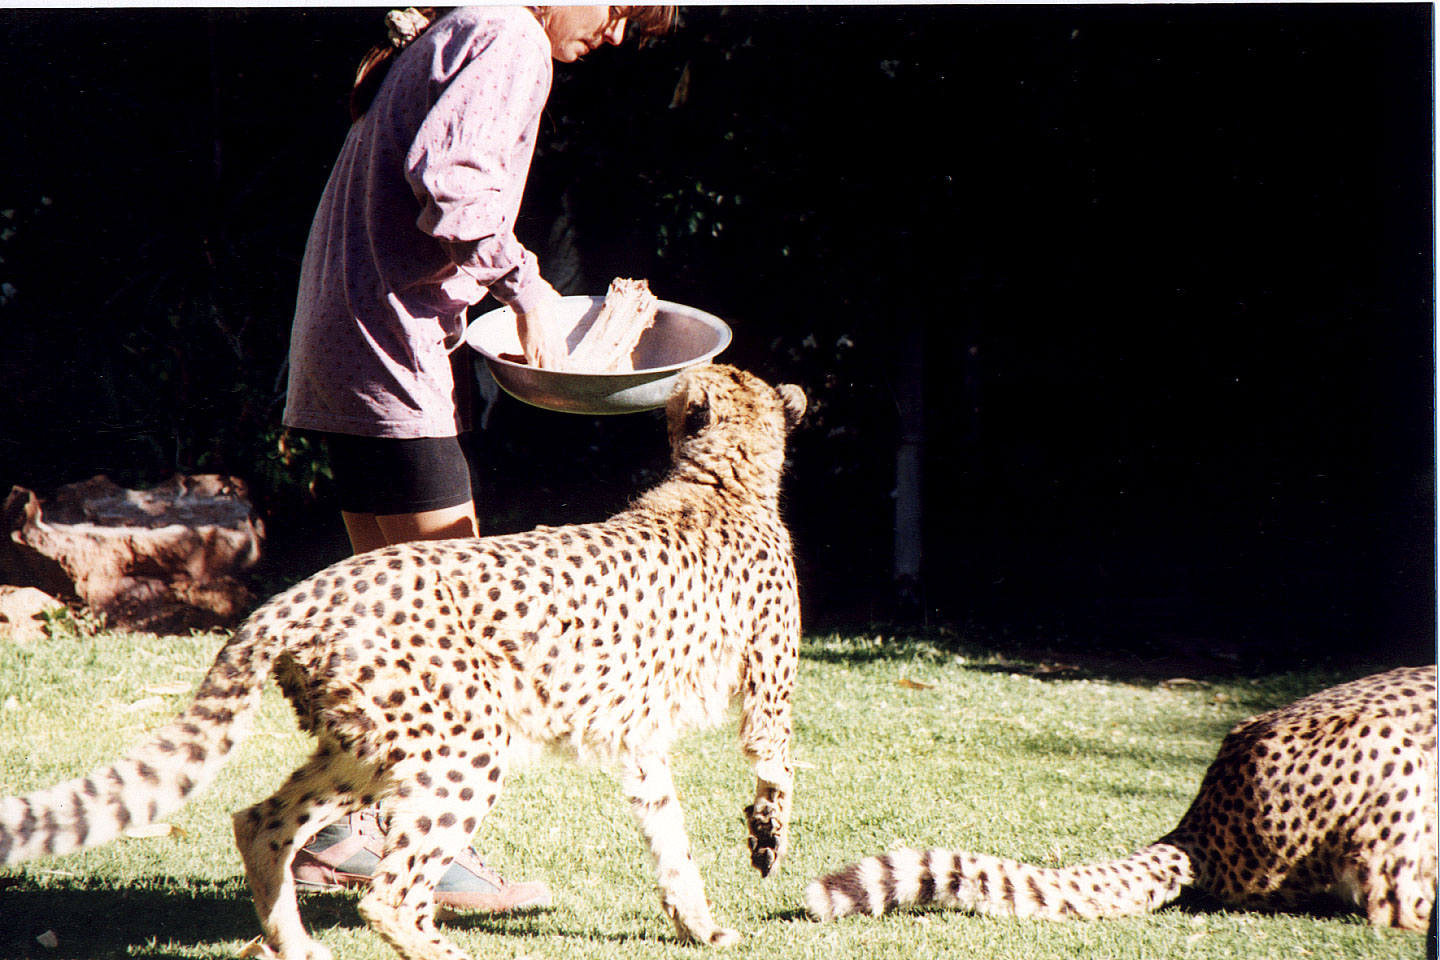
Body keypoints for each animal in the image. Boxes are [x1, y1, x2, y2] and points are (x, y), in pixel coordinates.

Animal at [0, 365, 812, 960]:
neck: (721, 479)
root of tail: (304, 591)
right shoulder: (766, 693)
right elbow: (775, 763)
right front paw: (767, 839)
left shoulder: (638, 740)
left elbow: (670, 836)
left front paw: (700, 925)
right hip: (462, 748)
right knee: (389, 895)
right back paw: (437, 953)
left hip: (367, 746)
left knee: (260, 820)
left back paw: (295, 944)